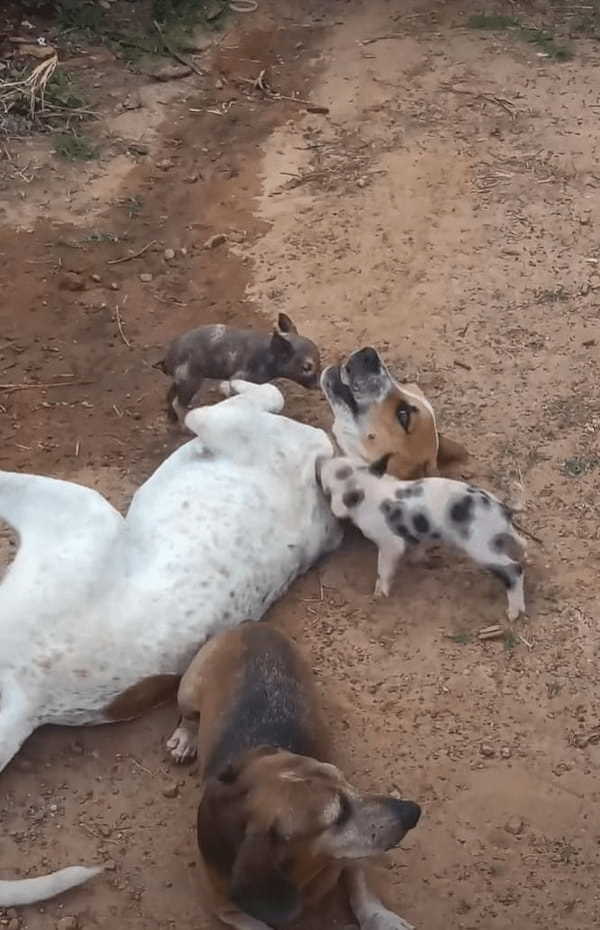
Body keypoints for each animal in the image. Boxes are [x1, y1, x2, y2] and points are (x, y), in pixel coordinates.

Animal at [157, 314, 322, 422]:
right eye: (307, 367)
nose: (319, 386)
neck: (267, 358)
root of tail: (168, 357)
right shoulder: (239, 377)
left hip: (181, 380)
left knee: (169, 395)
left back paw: (171, 418)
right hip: (190, 380)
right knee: (178, 403)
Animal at [166, 620, 422, 928]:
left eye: (347, 782)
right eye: (337, 815)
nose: (413, 811)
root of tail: (250, 624)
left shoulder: (353, 852)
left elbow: (361, 887)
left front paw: (382, 919)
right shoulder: (223, 905)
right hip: (189, 690)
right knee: (189, 717)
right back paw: (185, 738)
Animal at [318, 454, 524, 620]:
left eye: (328, 483)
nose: (321, 462)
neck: (369, 489)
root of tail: (503, 508)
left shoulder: (389, 543)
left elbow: (383, 569)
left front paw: (378, 596)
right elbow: (419, 547)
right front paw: (421, 561)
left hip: (481, 546)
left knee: (514, 569)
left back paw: (512, 614)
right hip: (500, 536)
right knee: (522, 542)